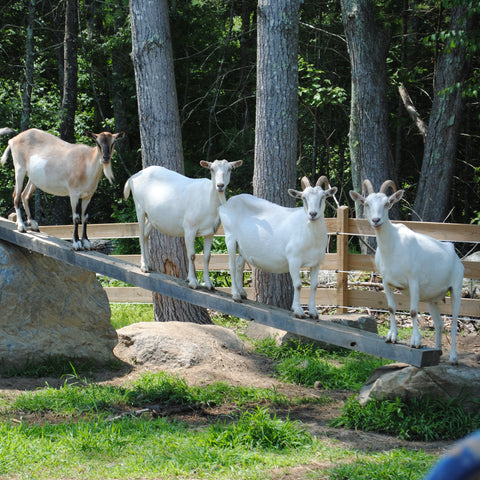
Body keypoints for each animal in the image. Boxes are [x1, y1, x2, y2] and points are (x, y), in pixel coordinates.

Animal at [124, 160, 244, 288]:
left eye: (230, 169)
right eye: (212, 169)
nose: (220, 185)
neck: (208, 201)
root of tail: (133, 177)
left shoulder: (210, 231)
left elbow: (207, 257)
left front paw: (209, 284)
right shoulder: (190, 228)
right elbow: (191, 255)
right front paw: (193, 282)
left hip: (151, 217)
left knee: (145, 235)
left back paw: (149, 264)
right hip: (139, 208)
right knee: (141, 236)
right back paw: (144, 266)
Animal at [350, 180, 464, 364]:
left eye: (387, 204)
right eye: (366, 203)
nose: (376, 220)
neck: (394, 246)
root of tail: (454, 254)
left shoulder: (414, 281)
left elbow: (412, 311)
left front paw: (415, 341)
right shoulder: (386, 282)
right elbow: (391, 308)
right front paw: (391, 337)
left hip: (456, 288)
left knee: (453, 322)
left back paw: (453, 357)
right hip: (432, 299)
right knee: (439, 324)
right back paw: (438, 351)